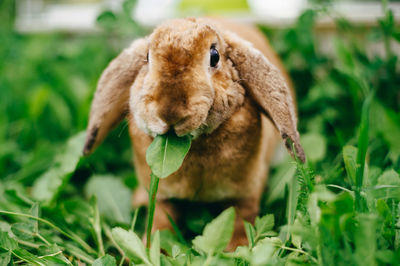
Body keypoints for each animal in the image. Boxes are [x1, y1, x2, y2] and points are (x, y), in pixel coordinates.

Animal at [83, 17, 304, 250]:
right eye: (147, 57)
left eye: (214, 56)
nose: (169, 112)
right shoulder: (163, 197)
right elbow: (161, 220)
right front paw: (151, 248)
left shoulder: (245, 192)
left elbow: (241, 217)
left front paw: (238, 247)